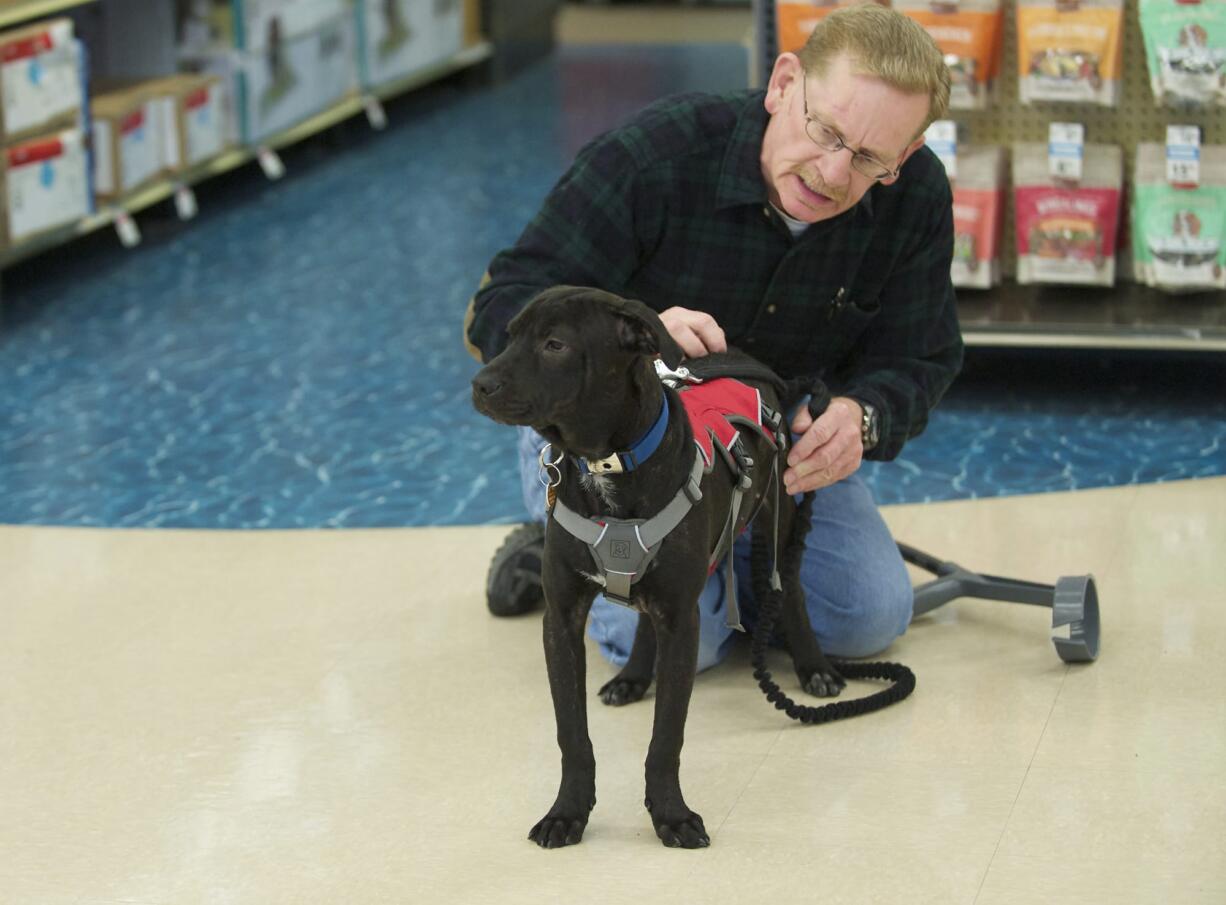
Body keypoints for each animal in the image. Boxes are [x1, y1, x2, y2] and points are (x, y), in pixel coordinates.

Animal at [468, 283, 843, 843]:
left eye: (555, 345)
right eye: (509, 335)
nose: (480, 384)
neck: (606, 465)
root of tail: (744, 358)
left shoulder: (682, 622)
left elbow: (666, 735)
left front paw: (671, 815)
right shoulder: (562, 619)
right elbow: (572, 734)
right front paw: (567, 812)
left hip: (777, 513)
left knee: (789, 584)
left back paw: (814, 666)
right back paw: (633, 676)